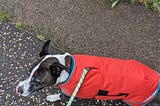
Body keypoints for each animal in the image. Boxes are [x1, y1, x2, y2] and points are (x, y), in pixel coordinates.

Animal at [16, 40, 160, 105]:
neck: (67, 69)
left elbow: (60, 95)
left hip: (135, 100)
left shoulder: (68, 93)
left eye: (36, 81)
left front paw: (52, 97)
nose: (18, 89)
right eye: (28, 73)